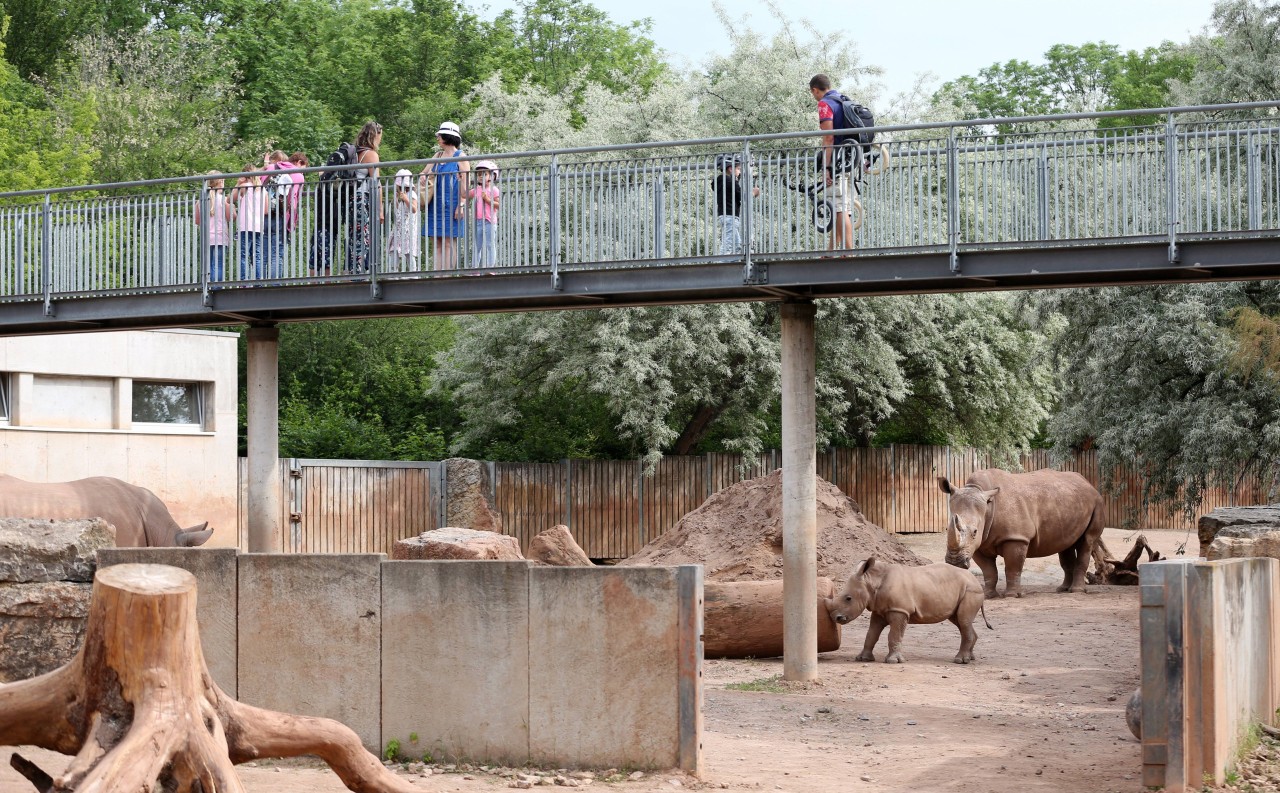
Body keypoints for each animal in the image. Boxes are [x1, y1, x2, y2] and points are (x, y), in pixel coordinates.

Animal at [824, 557, 993, 665]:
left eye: (848, 598)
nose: (837, 618)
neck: (872, 581)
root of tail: (977, 581)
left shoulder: (899, 610)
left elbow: (894, 635)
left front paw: (893, 661)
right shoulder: (879, 610)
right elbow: (871, 634)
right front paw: (862, 659)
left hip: (971, 591)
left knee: (963, 620)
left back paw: (960, 661)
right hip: (965, 590)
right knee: (960, 621)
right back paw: (970, 658)